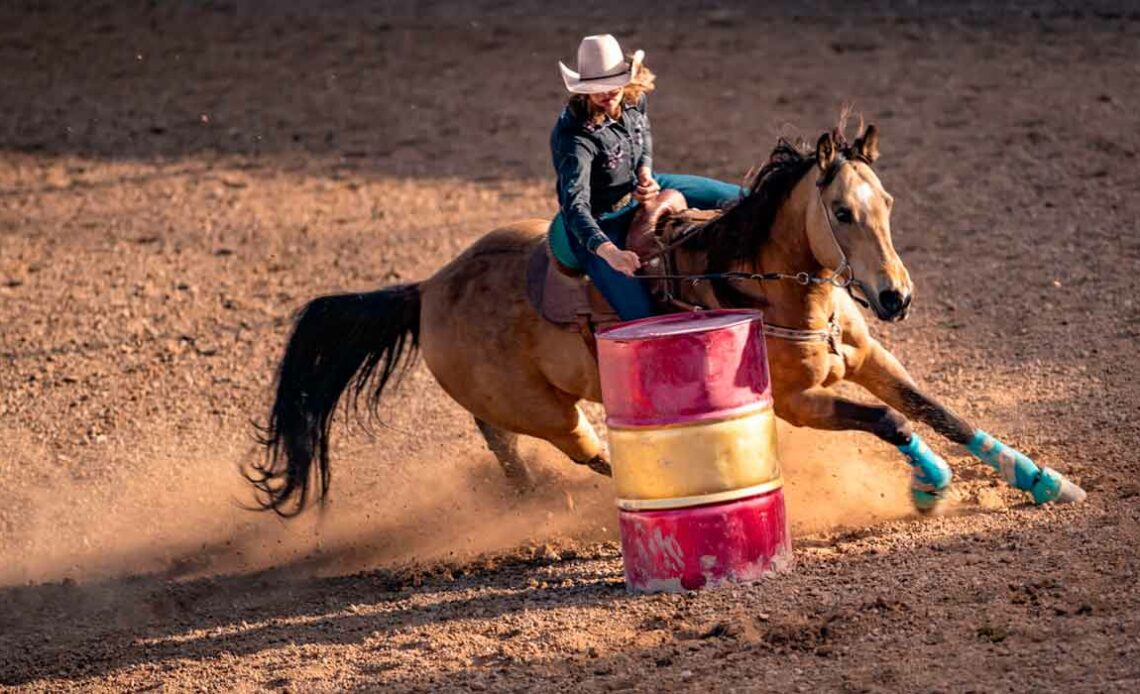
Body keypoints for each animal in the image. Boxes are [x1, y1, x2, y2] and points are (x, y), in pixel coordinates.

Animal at [251, 121, 1085, 517]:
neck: (771, 286)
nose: (895, 298)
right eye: (842, 212)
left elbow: (938, 410)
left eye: (887, 202)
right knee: (585, 449)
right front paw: (930, 488)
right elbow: (891, 422)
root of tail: (427, 288)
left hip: (522, 406)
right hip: (551, 413)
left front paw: (1048, 482)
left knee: (502, 441)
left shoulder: (872, 357)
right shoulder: (798, 404)